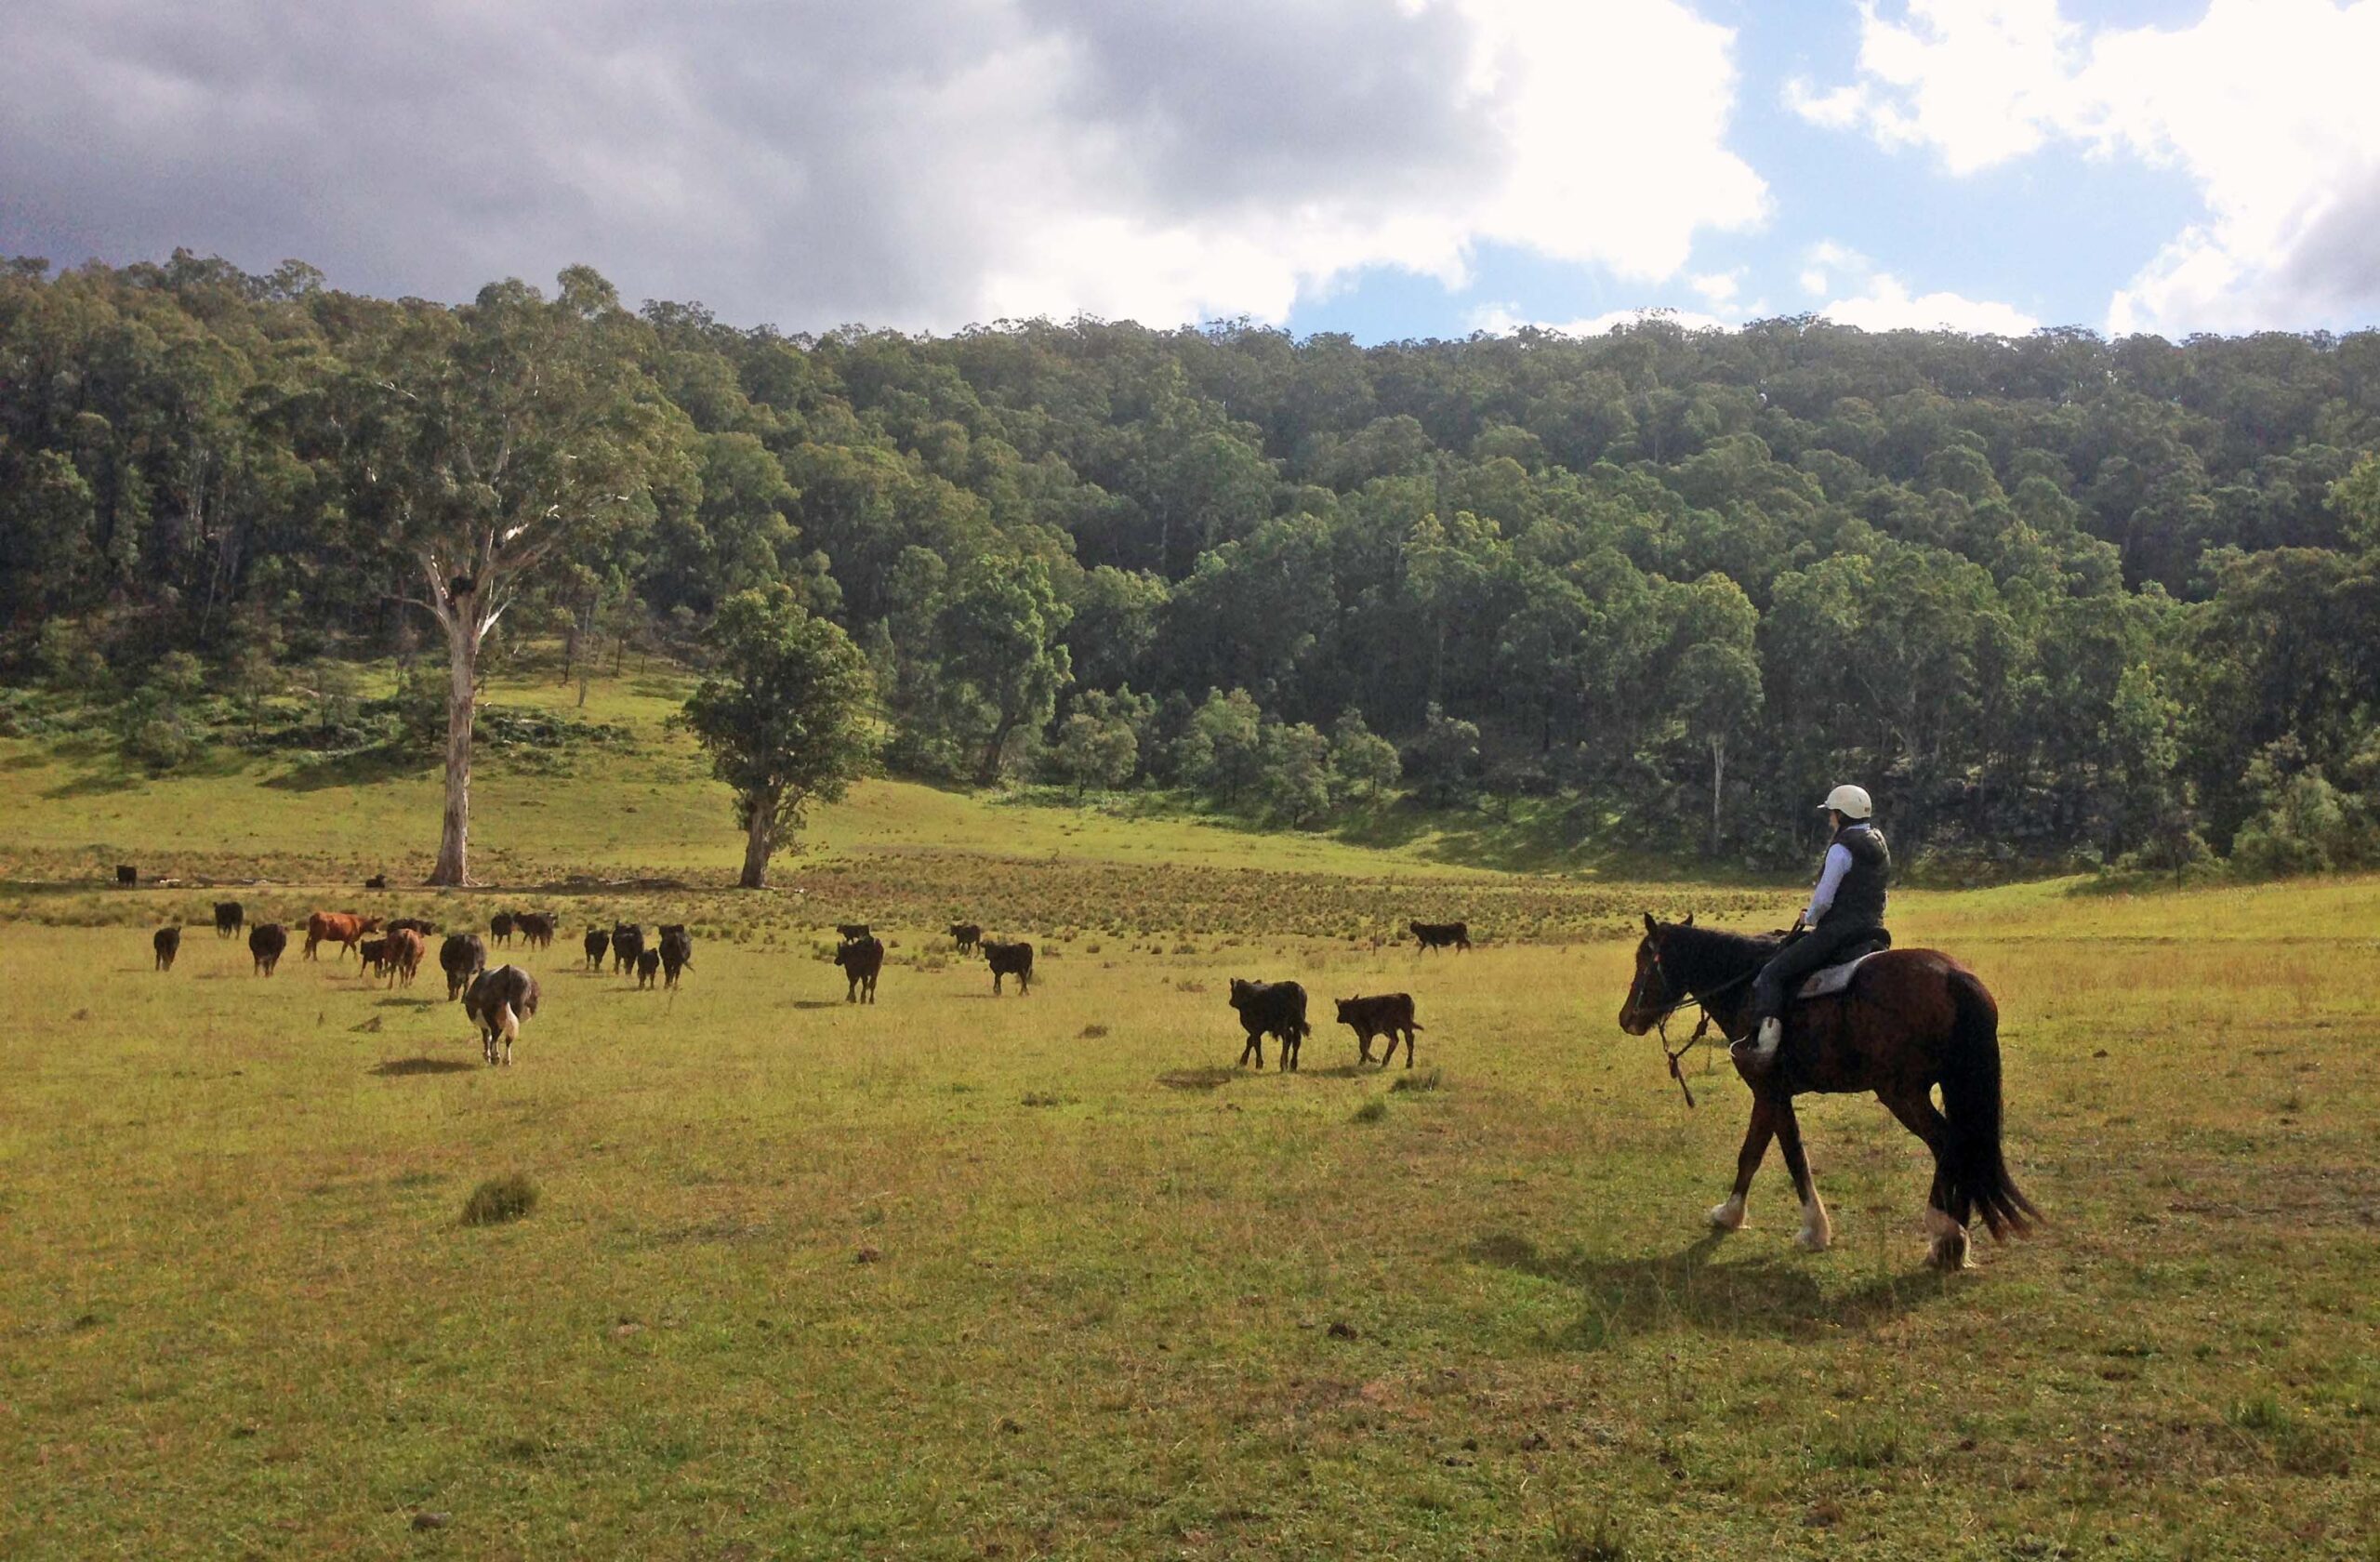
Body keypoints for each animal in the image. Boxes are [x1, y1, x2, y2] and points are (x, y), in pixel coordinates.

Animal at [1628, 914, 2037, 1266]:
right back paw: (1953, 1243)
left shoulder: (1769, 1090)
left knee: (1947, 1143)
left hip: (1902, 1093)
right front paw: (1734, 1215)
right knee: (1960, 1148)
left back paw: (1945, 1233)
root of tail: (1955, 976)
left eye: (1644, 959)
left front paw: (1808, 1229)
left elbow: (1783, 1156)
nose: (1626, 1018)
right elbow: (1760, 1152)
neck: (1744, 985)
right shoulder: (1771, 1093)